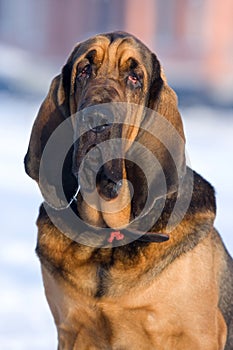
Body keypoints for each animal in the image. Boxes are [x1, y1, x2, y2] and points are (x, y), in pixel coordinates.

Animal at [24, 31, 233, 348]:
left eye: (134, 77)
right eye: (84, 70)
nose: (96, 121)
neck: (109, 237)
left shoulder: (197, 334)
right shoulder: (72, 331)